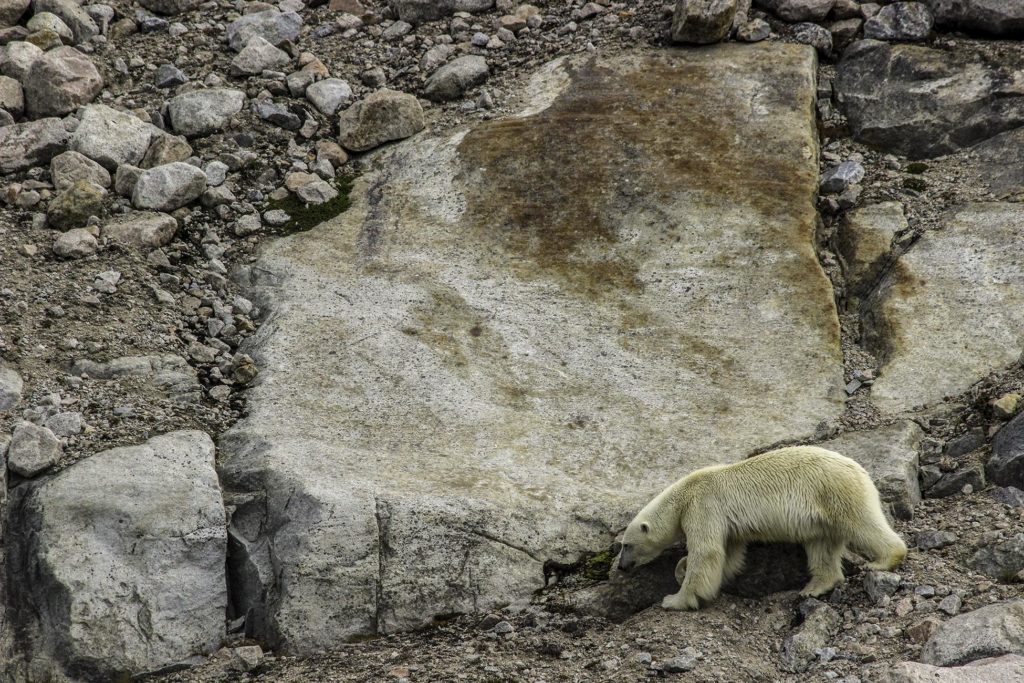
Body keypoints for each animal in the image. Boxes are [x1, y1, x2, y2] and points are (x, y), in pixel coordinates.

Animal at [614, 446, 905, 610]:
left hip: (834, 491)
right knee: (821, 546)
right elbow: (729, 554)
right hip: (821, 516)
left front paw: (674, 600)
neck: (683, 494)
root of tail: (860, 470)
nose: (622, 566)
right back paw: (815, 586)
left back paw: (884, 560)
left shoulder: (703, 505)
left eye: (626, 545)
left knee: (862, 524)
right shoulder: (725, 523)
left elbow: (707, 551)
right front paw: (682, 567)